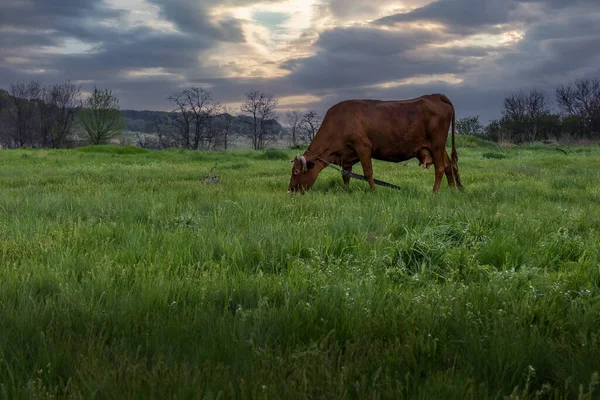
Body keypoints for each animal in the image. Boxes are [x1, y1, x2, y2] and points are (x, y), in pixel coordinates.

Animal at [288, 94, 462, 194]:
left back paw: (435, 192)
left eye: (296, 171)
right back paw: (452, 189)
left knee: (440, 168)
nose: (290, 190)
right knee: (448, 165)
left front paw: (373, 191)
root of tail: (435, 96)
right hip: (436, 147)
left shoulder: (363, 147)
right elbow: (346, 175)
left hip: (437, 144)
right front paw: (346, 190)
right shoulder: (347, 156)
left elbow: (368, 172)